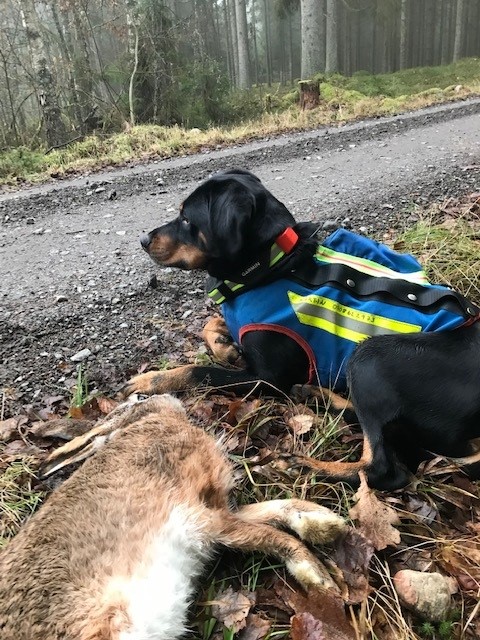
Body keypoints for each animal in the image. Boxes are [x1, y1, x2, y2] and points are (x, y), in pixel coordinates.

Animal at [125, 170, 480, 490]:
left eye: (187, 219)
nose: (142, 240)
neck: (270, 264)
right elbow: (210, 323)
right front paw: (224, 345)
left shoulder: (269, 379)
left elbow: (199, 372)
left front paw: (150, 380)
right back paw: (316, 395)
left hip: (369, 357)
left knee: (383, 470)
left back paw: (302, 465)